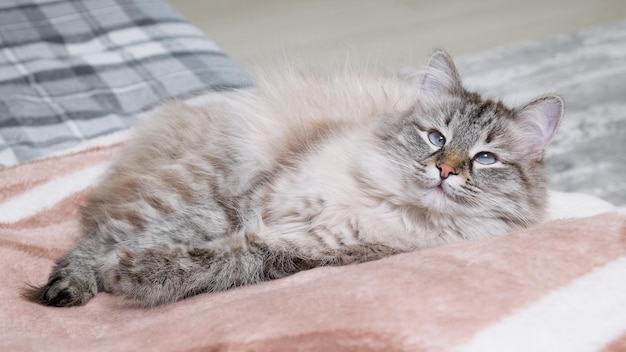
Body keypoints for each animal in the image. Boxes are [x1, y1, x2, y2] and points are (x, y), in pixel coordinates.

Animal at [24, 51, 564, 306]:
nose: (445, 169)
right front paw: (111, 271)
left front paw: (134, 273)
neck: (386, 204)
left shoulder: (296, 254)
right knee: (94, 240)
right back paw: (67, 289)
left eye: (485, 159)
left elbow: (212, 261)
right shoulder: (244, 202)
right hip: (197, 184)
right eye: (435, 137)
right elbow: (158, 243)